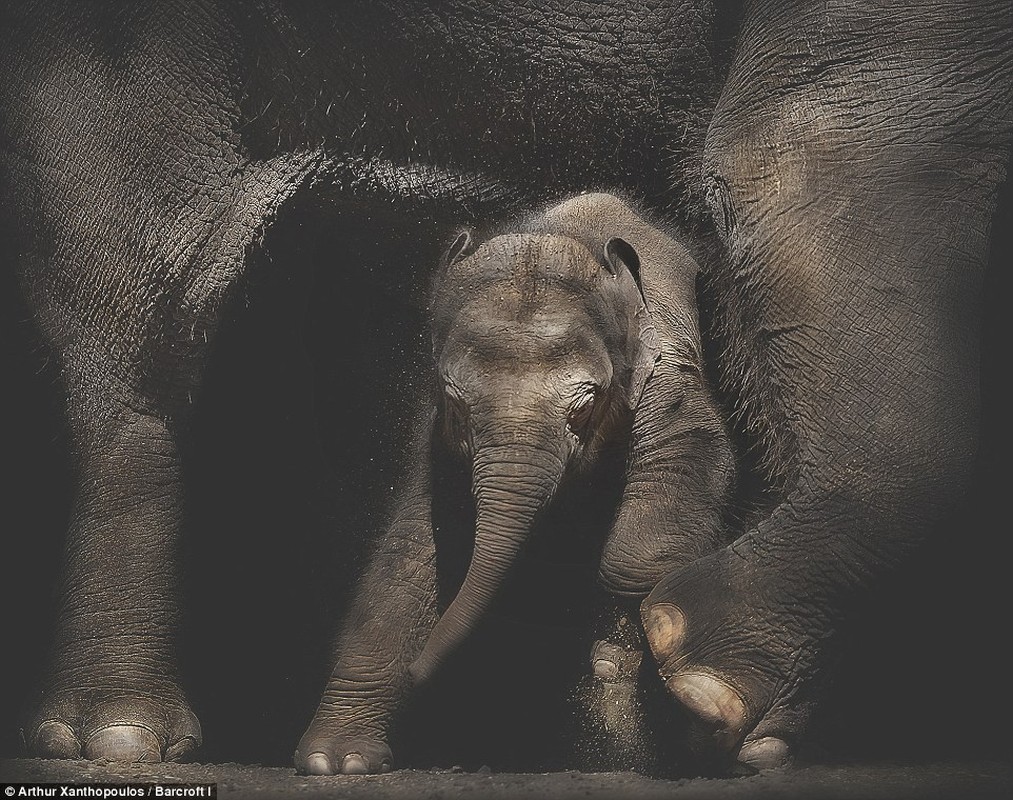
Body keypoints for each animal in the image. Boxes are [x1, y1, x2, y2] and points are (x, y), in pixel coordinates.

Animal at [295, 194, 733, 777]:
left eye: (586, 406)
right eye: (456, 404)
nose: (421, 674)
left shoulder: (667, 375)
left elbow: (686, 462)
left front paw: (617, 663)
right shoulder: (437, 437)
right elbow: (415, 548)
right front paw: (335, 762)